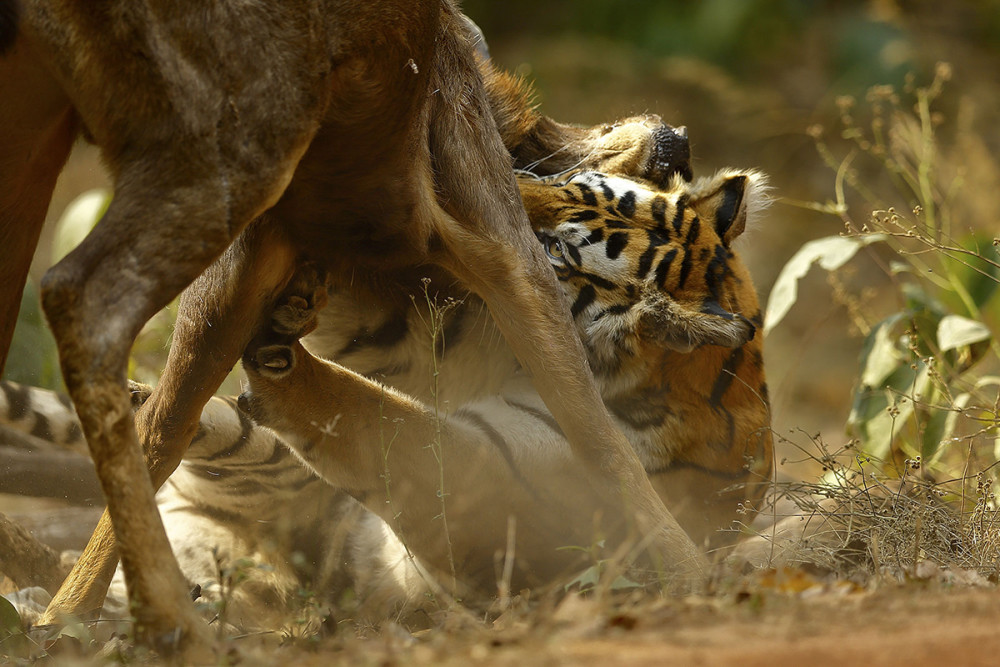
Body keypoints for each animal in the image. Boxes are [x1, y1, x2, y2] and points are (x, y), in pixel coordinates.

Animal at [0, 166, 772, 632]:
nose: (458, 213)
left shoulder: (495, 475)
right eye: (563, 180)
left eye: (555, 249)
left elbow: (379, 417)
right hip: (241, 463)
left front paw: (284, 342)